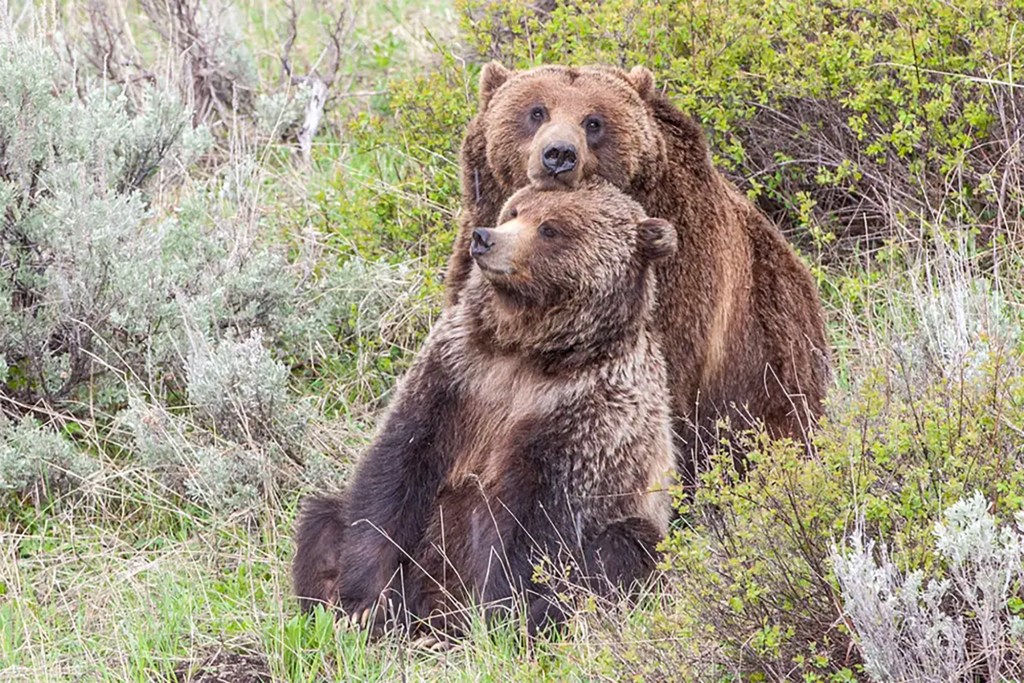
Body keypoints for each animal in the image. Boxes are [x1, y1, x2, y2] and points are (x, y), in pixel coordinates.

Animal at [293, 179, 677, 636]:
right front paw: (363, 603)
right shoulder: (458, 371)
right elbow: (396, 469)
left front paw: (496, 617)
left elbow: (536, 524)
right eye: (514, 211)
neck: (528, 350)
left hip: (634, 523)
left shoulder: (587, 412)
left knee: (619, 552)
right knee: (323, 517)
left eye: (550, 228)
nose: (485, 238)